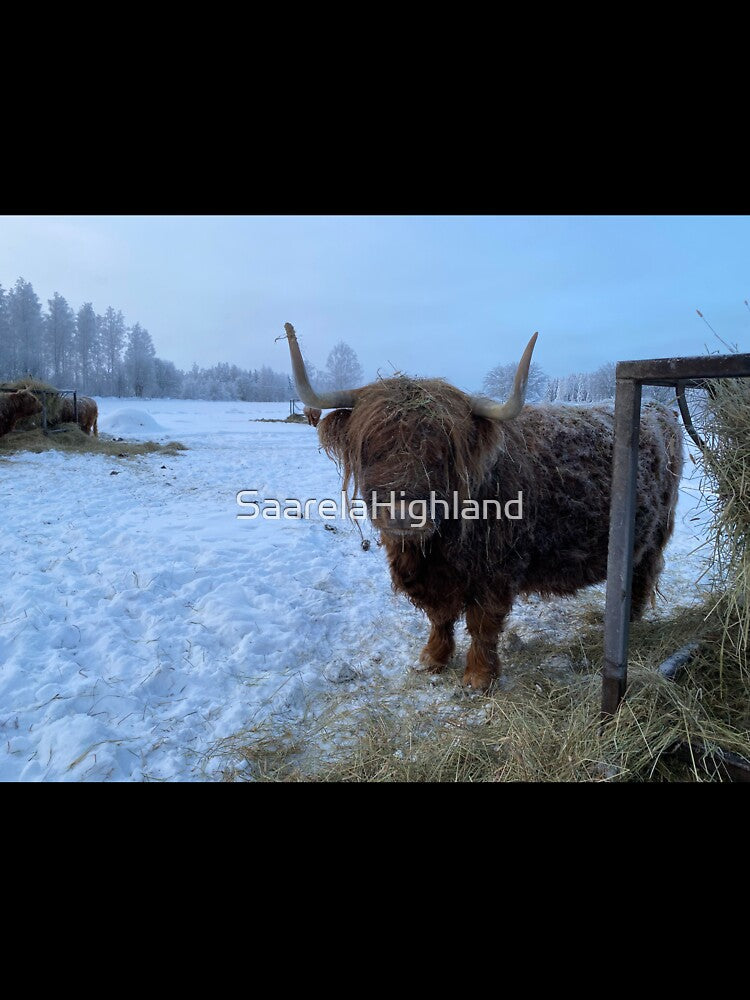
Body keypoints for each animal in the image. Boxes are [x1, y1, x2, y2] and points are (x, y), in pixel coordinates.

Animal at [281, 322, 684, 691]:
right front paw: (432, 659)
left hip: (654, 532)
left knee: (642, 573)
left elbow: (482, 623)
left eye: (442, 453)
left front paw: (478, 676)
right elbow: (439, 617)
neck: (436, 547)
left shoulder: (497, 570)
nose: (404, 514)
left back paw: (628, 622)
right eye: (371, 449)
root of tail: (660, 409)